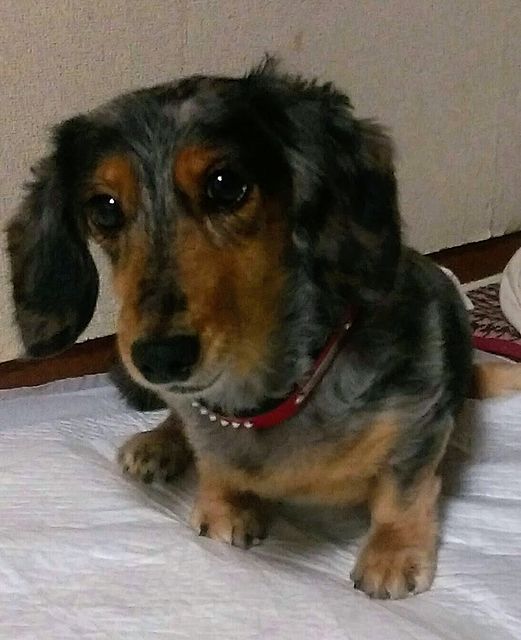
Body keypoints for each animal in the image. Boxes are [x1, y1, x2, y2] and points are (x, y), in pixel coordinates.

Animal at [7, 60, 521, 599]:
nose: (160, 358)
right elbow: (211, 457)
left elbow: (402, 489)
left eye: (225, 183)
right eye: (104, 208)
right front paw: (224, 504)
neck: (264, 394)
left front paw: (392, 553)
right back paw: (158, 444)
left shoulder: (418, 417)